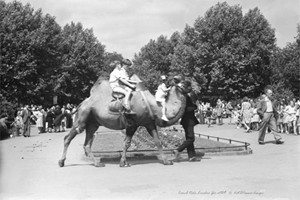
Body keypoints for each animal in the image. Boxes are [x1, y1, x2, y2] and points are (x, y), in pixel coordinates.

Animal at [57, 75, 189, 167]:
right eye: (179, 80)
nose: (191, 85)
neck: (153, 105)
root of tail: (80, 104)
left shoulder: (149, 123)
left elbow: (158, 141)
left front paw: (167, 161)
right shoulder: (132, 124)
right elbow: (127, 143)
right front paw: (123, 163)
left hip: (93, 123)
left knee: (87, 143)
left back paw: (97, 163)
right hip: (83, 116)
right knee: (69, 136)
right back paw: (61, 162)